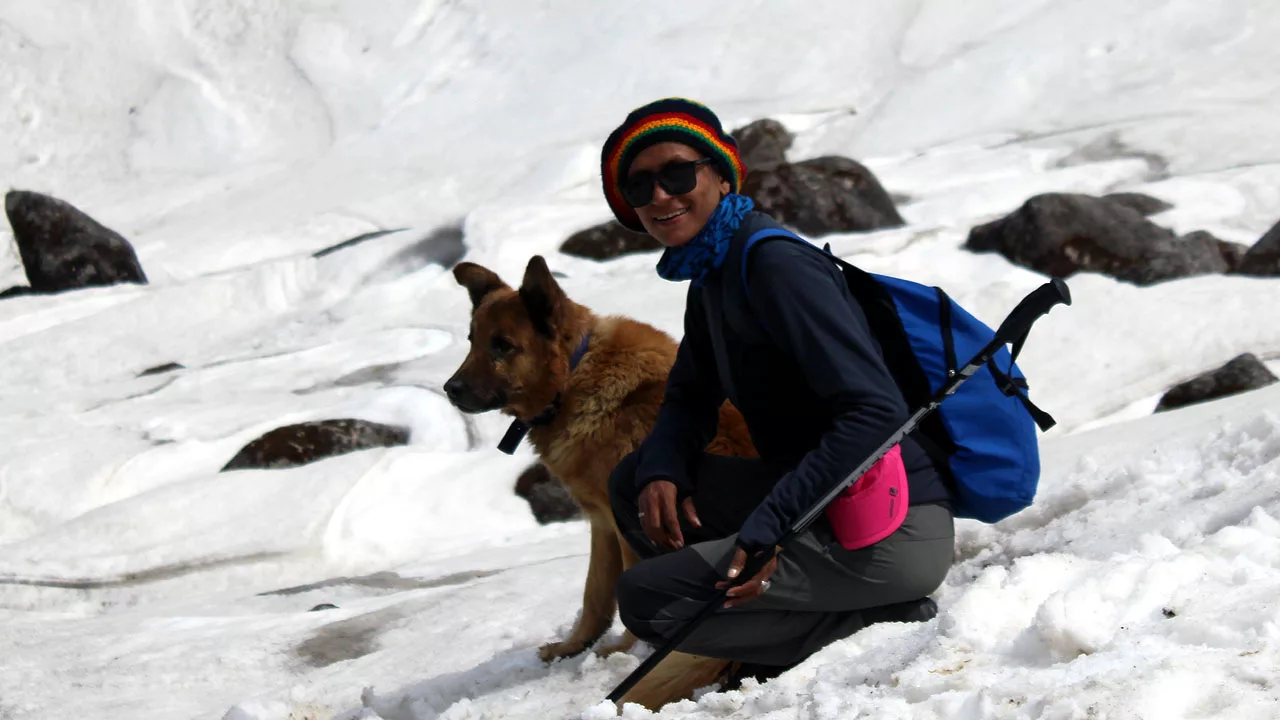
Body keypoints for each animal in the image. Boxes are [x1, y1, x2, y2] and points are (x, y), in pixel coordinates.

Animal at [445, 253, 752, 707]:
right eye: (471, 340)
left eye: (503, 345)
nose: (450, 389)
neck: (572, 379)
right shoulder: (602, 524)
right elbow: (595, 593)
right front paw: (575, 647)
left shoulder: (626, 523)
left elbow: (622, 589)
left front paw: (622, 652)